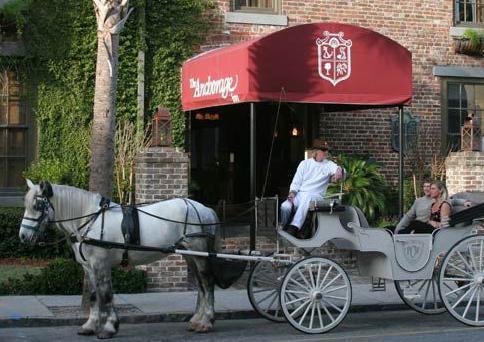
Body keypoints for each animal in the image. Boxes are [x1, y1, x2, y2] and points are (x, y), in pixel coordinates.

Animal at [19, 180, 219, 338]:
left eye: (37, 206)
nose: (23, 236)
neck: (90, 221)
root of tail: (204, 209)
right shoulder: (89, 267)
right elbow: (94, 295)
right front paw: (90, 326)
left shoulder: (100, 264)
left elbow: (106, 295)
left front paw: (108, 328)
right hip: (190, 255)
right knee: (200, 285)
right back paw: (196, 320)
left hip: (199, 252)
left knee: (207, 283)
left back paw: (205, 322)